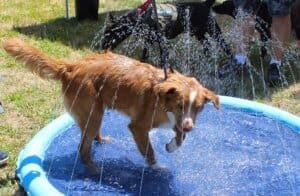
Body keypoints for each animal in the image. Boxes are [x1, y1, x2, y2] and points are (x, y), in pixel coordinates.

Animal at [3, 38, 220, 172]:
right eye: (180, 105)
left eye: (199, 108)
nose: (190, 127)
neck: (164, 97)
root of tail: (71, 67)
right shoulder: (138, 127)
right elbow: (149, 150)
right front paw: (157, 167)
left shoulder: (177, 121)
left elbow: (180, 136)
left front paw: (171, 145)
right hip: (93, 110)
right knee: (82, 147)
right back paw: (93, 170)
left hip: (95, 111)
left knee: (89, 137)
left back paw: (102, 142)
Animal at [101, 0, 232, 65]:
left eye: (108, 33)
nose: (101, 46)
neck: (139, 17)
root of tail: (205, 4)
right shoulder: (149, 40)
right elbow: (145, 54)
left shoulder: (162, 41)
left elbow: (163, 57)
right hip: (198, 33)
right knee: (207, 44)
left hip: (213, 30)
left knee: (225, 46)